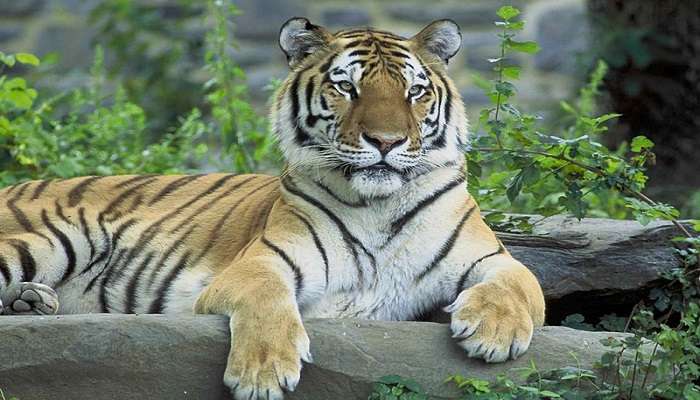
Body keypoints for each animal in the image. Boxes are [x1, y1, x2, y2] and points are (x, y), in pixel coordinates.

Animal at [0, 18, 548, 400]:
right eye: (346, 87)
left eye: (415, 91)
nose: (387, 141)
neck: (378, 204)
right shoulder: (263, 261)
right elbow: (267, 299)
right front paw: (262, 373)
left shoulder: (489, 257)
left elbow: (522, 283)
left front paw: (494, 332)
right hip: (61, 236)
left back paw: (31, 301)